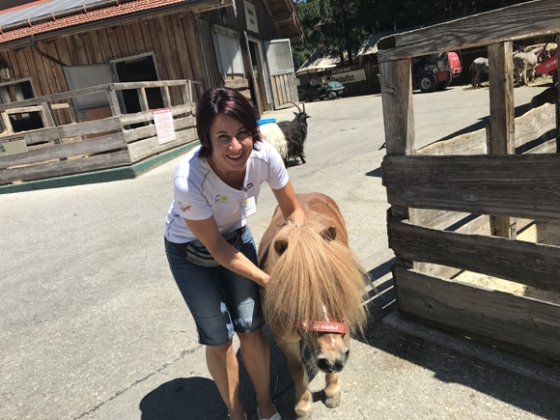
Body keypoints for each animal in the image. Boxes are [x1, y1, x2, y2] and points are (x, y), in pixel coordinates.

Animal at [258, 192, 368, 418]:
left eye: (338, 283)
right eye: (294, 294)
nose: (332, 359)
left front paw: (332, 390)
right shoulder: (284, 339)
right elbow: (295, 368)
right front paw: (303, 405)